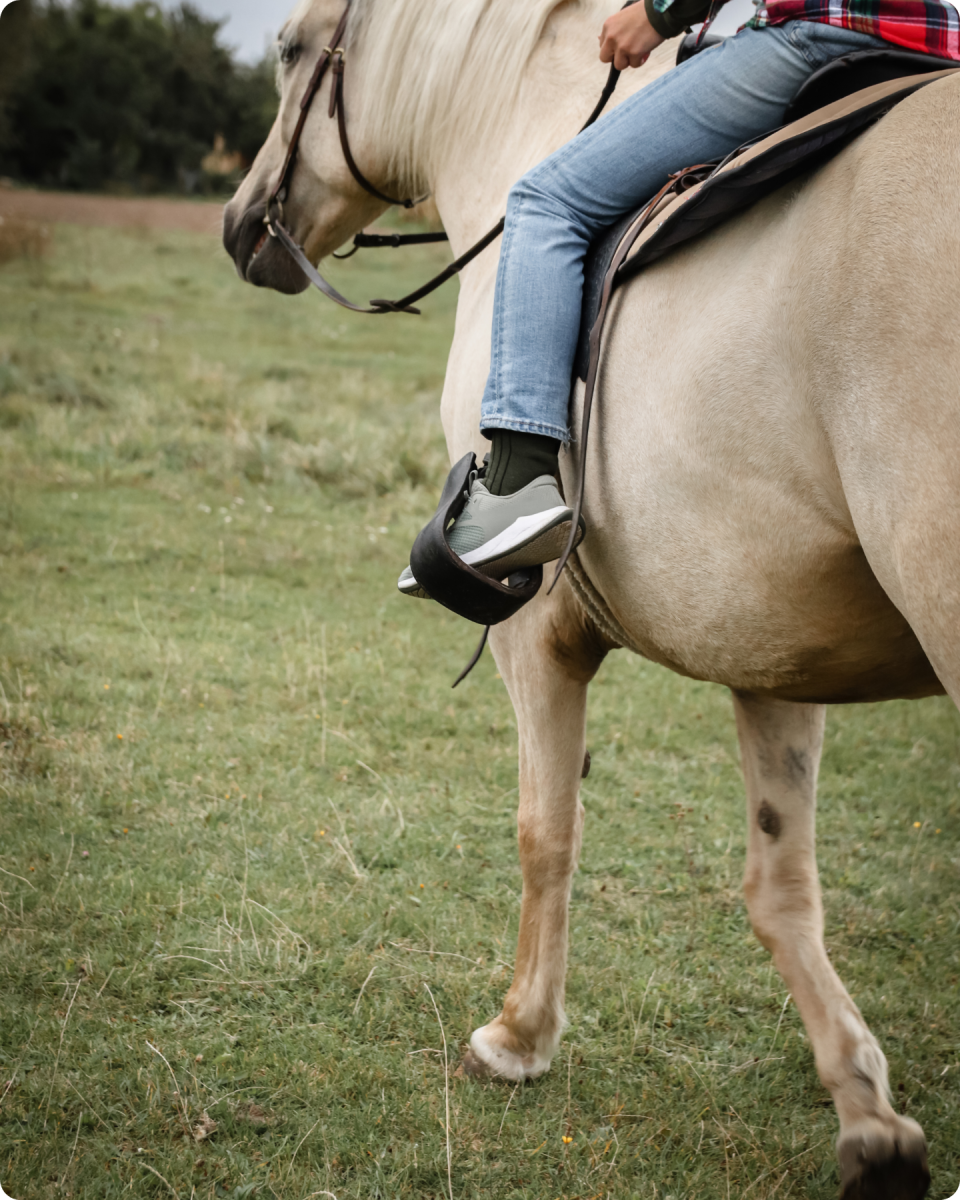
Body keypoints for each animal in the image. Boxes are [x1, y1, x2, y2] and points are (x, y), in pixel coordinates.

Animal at [223, 1, 960, 1194]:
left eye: (290, 48)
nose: (242, 224)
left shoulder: (532, 631)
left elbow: (545, 831)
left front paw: (519, 1037)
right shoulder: (771, 643)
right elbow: (781, 884)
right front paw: (866, 1113)